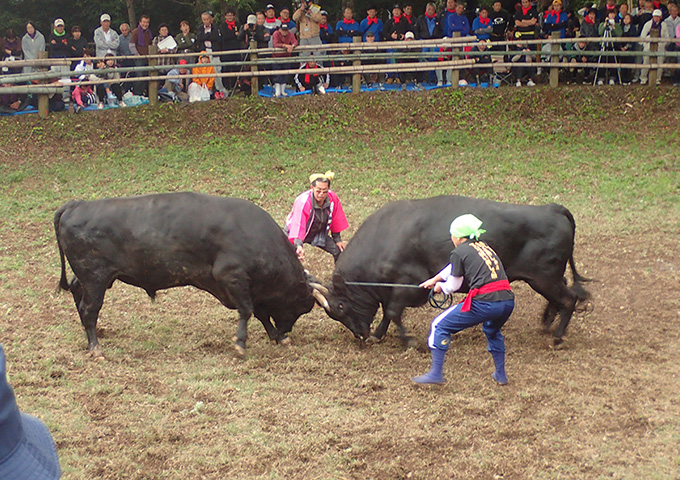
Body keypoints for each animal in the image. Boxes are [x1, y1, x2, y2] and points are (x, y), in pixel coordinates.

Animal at [52, 191, 322, 356]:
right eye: (302, 305)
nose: (287, 330)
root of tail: (76, 204)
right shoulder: (232, 277)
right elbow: (248, 311)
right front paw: (241, 343)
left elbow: (260, 313)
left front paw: (276, 336)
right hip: (95, 278)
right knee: (89, 309)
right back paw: (95, 348)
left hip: (92, 278)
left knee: (77, 293)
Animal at [314, 195, 588, 344]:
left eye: (340, 306)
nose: (359, 334)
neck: (386, 237)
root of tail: (551, 208)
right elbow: (388, 313)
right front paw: (378, 334)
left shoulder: (409, 283)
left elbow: (392, 311)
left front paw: (408, 340)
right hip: (550, 277)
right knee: (562, 295)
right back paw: (547, 323)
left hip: (544, 277)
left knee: (569, 298)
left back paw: (558, 336)